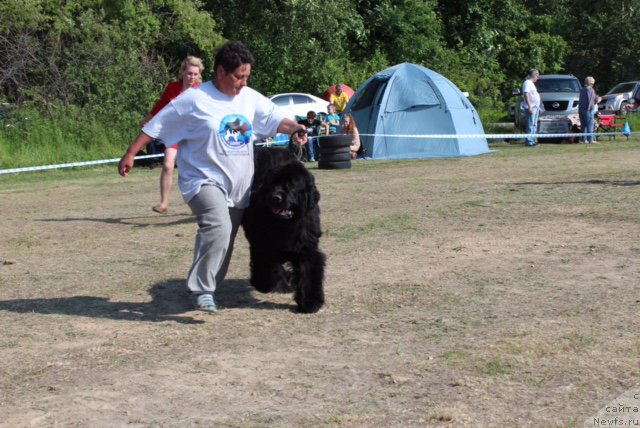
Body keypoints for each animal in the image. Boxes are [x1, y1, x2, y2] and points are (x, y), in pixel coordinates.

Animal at [242, 145, 328, 312]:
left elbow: (309, 272)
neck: (287, 225)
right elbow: (265, 266)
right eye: (272, 185)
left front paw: (310, 302)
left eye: (290, 185)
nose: (275, 197)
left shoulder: (306, 247)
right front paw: (264, 284)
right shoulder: (262, 245)